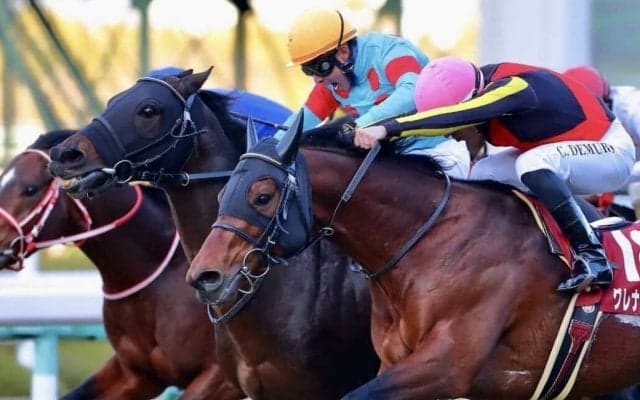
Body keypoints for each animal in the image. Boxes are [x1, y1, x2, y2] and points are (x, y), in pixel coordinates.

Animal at [184, 116, 640, 399]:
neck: (429, 241)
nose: (204, 276)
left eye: (262, 196)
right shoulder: (393, 361)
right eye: (223, 194)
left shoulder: (447, 365)